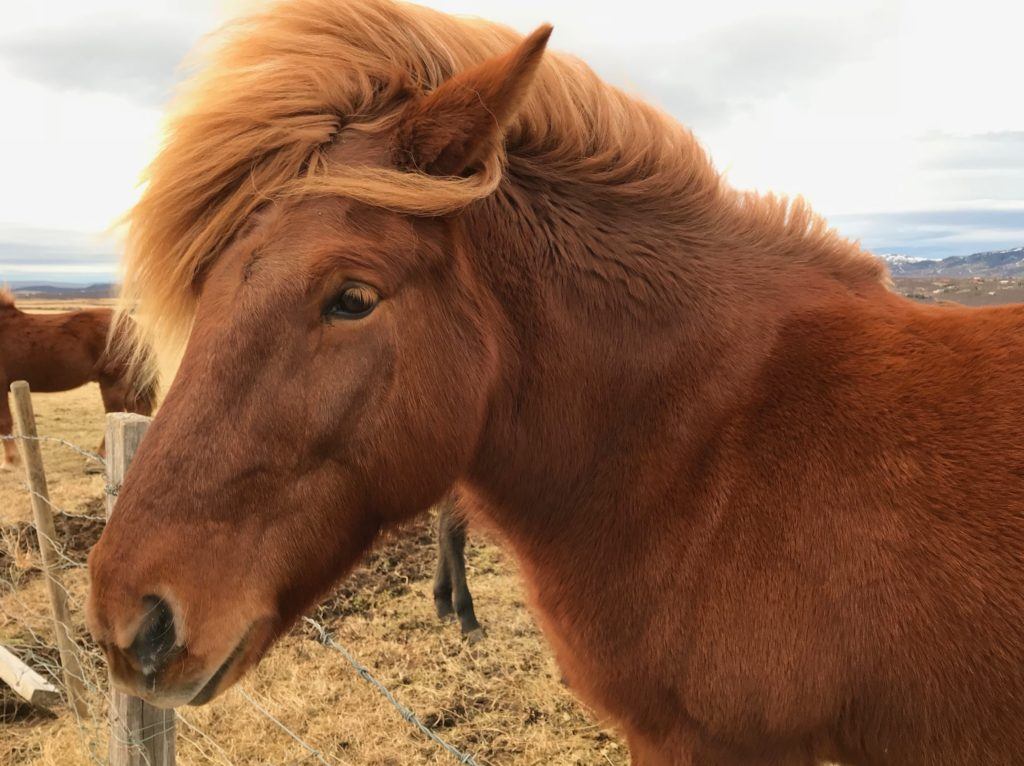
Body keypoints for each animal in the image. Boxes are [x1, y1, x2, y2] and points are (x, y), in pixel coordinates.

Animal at [1, 288, 156, 462]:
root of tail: (133, 326)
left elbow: (4, 421)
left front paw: (11, 460)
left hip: (112, 383)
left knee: (115, 412)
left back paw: (100, 454)